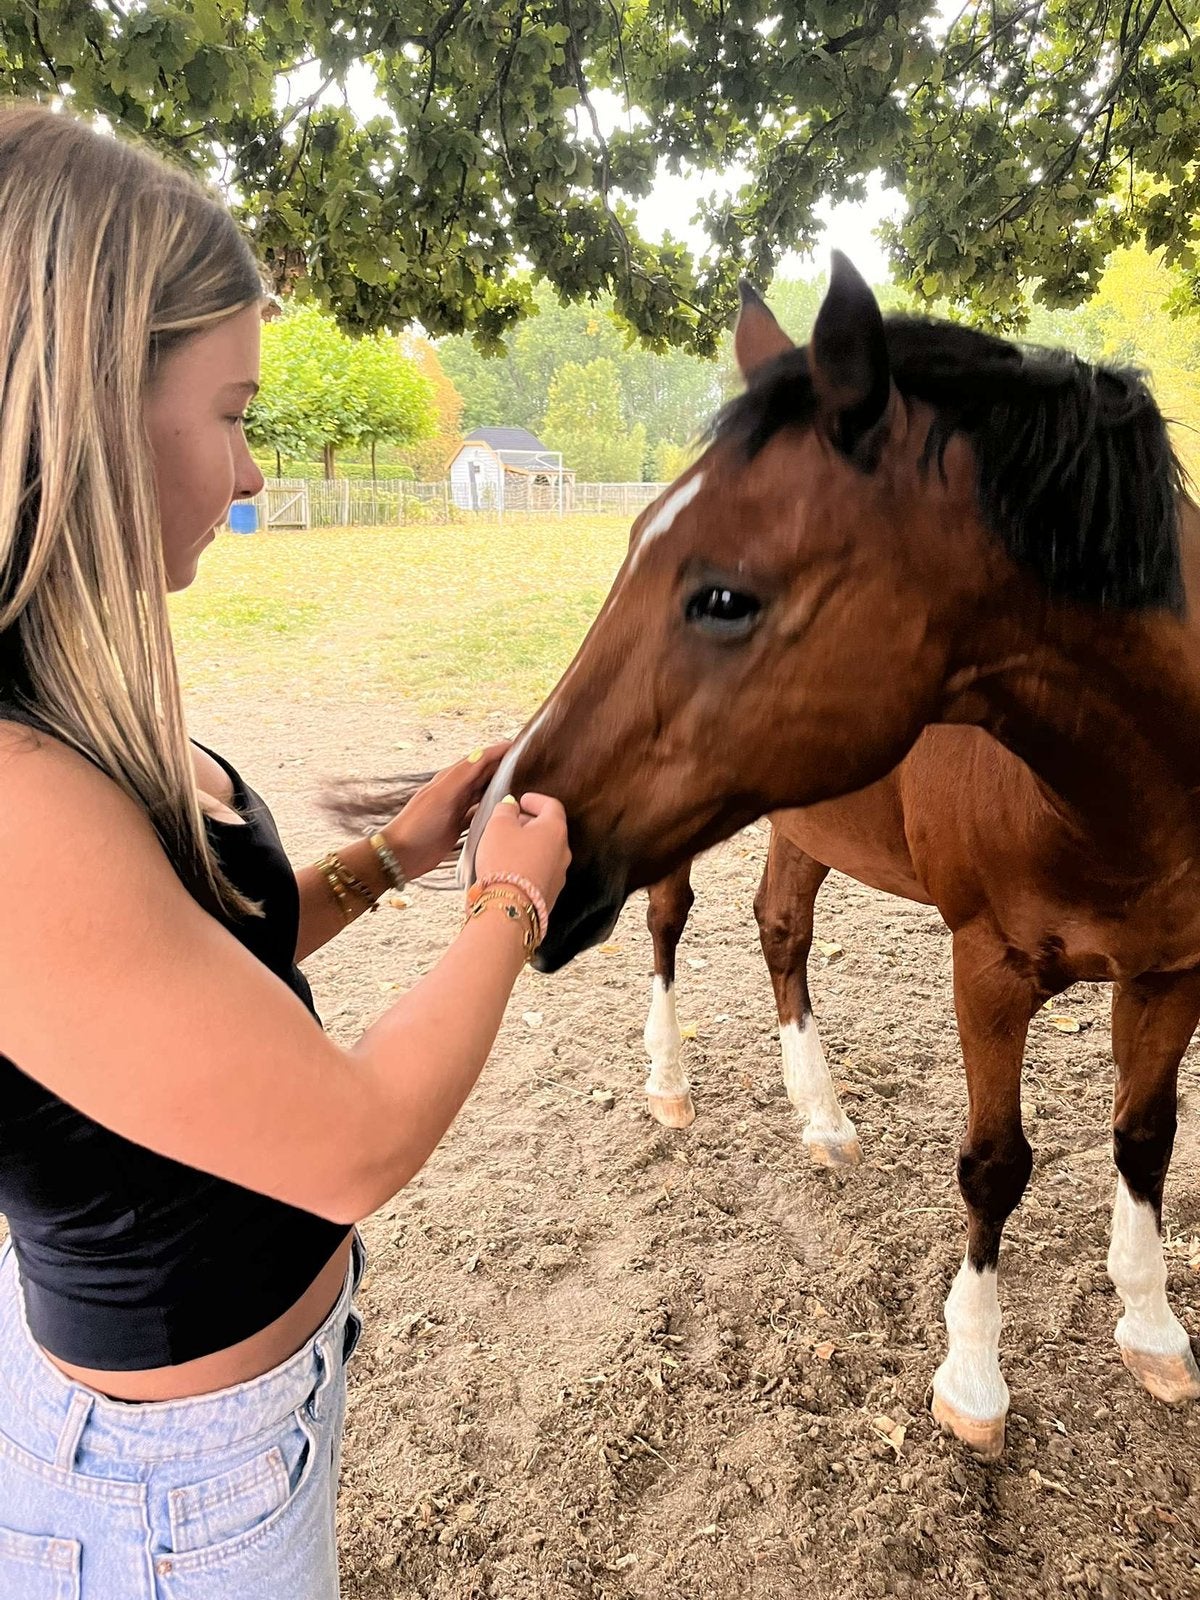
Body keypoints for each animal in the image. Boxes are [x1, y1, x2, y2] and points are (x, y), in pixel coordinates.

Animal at [449, 254, 1200, 1459]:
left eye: (723, 594)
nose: (497, 842)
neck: (1124, 799)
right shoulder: (988, 968)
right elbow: (997, 1163)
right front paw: (973, 1376)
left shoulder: (1173, 972)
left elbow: (1142, 1139)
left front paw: (1152, 1327)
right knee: (671, 928)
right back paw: (669, 1083)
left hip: (798, 823)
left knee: (782, 931)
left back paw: (823, 1116)